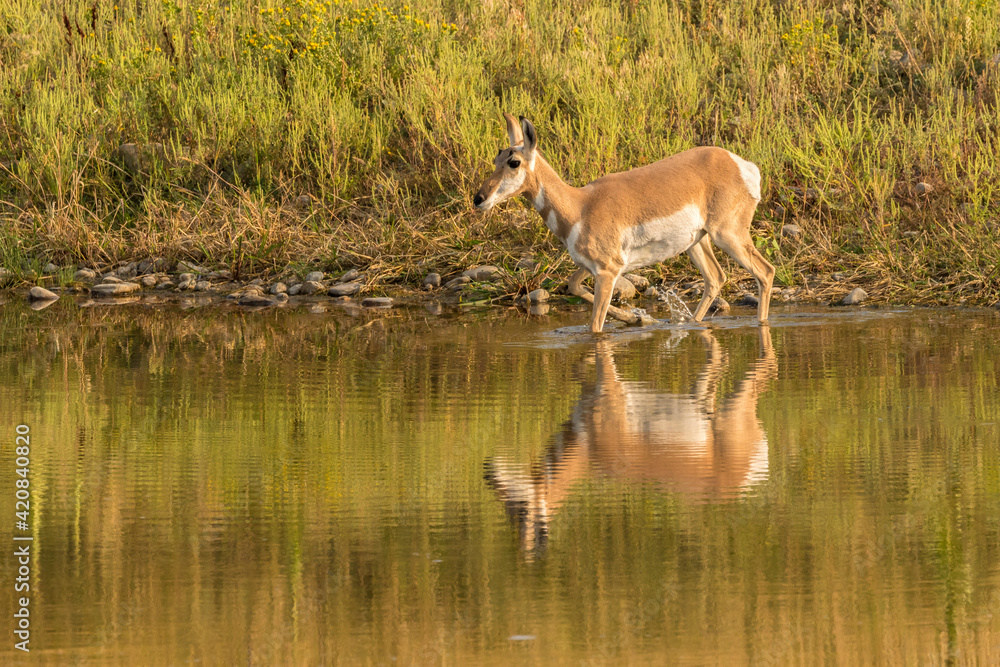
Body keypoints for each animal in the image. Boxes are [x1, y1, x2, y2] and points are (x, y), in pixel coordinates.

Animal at [473, 113, 774, 332]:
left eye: (514, 161)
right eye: (497, 157)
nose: (478, 199)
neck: (581, 205)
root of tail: (740, 164)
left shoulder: (608, 271)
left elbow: (595, 327)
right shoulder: (594, 267)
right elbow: (572, 285)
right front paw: (638, 319)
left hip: (728, 235)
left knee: (765, 271)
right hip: (696, 243)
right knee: (715, 278)